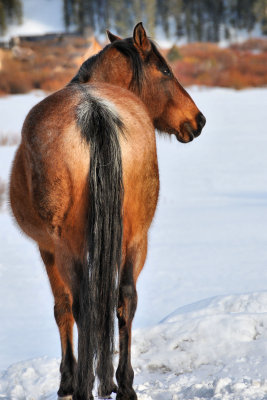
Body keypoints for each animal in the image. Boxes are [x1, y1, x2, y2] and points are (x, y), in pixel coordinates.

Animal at [8, 22, 205, 400]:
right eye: (165, 70)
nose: (197, 120)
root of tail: (94, 111)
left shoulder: (47, 249)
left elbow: (62, 309)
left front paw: (67, 382)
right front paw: (108, 379)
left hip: (69, 247)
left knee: (82, 306)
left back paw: (85, 386)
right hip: (135, 238)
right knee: (124, 299)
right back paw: (124, 384)